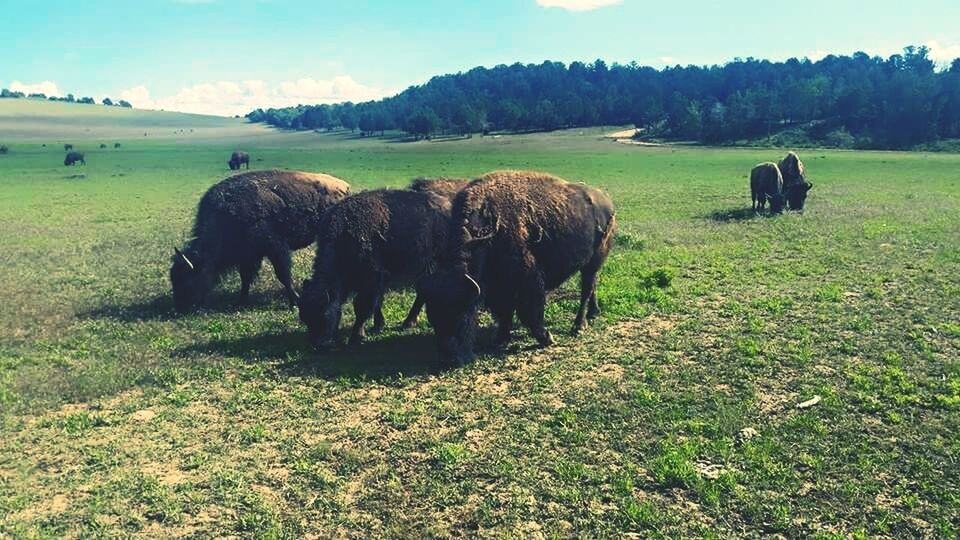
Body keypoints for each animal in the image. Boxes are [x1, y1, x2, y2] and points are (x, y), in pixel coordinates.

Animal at [171, 169, 350, 312]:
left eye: (187, 279)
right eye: (173, 278)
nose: (179, 308)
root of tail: (345, 186)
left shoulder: (276, 248)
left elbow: (283, 275)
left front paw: (294, 302)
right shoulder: (249, 256)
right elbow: (245, 278)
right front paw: (241, 301)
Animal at [298, 189, 452, 350]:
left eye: (323, 315)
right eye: (304, 317)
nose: (317, 346)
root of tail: (447, 205)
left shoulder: (371, 280)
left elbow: (362, 307)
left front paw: (356, 337)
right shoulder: (375, 283)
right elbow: (376, 303)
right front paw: (378, 325)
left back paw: (408, 322)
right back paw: (409, 322)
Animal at [424, 172, 620, 368]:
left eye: (461, 316)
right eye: (432, 318)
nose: (450, 359)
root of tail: (607, 201)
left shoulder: (528, 281)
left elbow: (529, 313)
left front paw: (547, 338)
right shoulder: (500, 287)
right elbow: (504, 312)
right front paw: (501, 338)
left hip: (594, 261)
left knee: (586, 289)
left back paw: (578, 326)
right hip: (591, 264)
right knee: (593, 285)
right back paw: (594, 313)